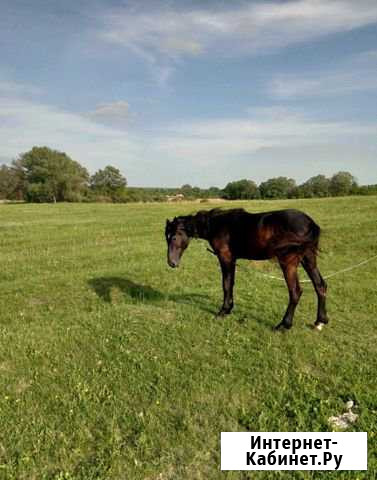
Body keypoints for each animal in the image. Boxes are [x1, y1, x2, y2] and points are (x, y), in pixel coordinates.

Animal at [164, 208, 326, 332]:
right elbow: (231, 284)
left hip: (289, 263)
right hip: (308, 259)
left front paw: (223, 311)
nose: (171, 263)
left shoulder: (226, 258)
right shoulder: (233, 260)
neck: (218, 225)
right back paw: (320, 322)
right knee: (320, 285)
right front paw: (228, 309)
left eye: (173, 238)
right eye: (166, 238)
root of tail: (310, 223)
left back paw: (283, 325)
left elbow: (226, 285)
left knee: (295, 292)